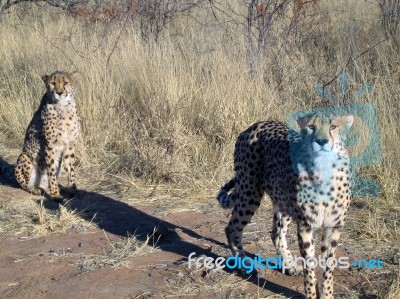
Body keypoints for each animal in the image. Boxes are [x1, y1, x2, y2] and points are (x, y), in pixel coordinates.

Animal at [1, 71, 79, 200]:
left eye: (66, 82)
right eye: (53, 83)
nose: (59, 93)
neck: (63, 106)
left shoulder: (69, 144)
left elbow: (70, 169)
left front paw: (72, 189)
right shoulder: (50, 145)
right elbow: (51, 171)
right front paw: (55, 194)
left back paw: (59, 187)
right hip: (24, 156)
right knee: (25, 184)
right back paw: (36, 189)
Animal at [219, 113, 354, 299]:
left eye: (333, 126)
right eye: (311, 126)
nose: (321, 141)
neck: (323, 169)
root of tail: (256, 125)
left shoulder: (333, 226)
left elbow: (329, 267)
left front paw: (326, 294)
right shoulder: (305, 225)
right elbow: (309, 267)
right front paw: (311, 294)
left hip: (282, 200)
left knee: (276, 233)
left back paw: (288, 265)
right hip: (250, 192)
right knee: (232, 227)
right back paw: (244, 265)